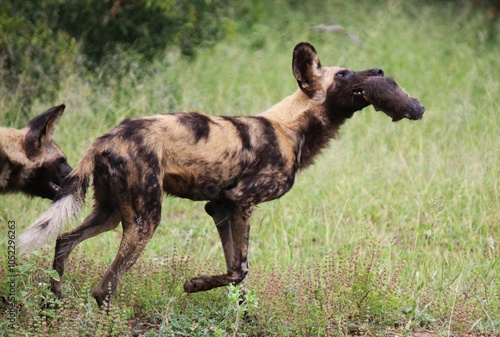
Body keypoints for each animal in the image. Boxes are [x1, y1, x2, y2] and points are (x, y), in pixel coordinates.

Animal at [20, 42, 426, 308]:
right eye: (342, 74)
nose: (380, 73)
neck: (292, 127)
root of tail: (105, 137)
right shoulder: (240, 201)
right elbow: (239, 268)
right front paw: (193, 284)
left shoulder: (219, 208)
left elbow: (237, 270)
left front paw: (240, 313)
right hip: (144, 220)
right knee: (103, 287)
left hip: (111, 213)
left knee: (64, 240)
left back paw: (53, 300)